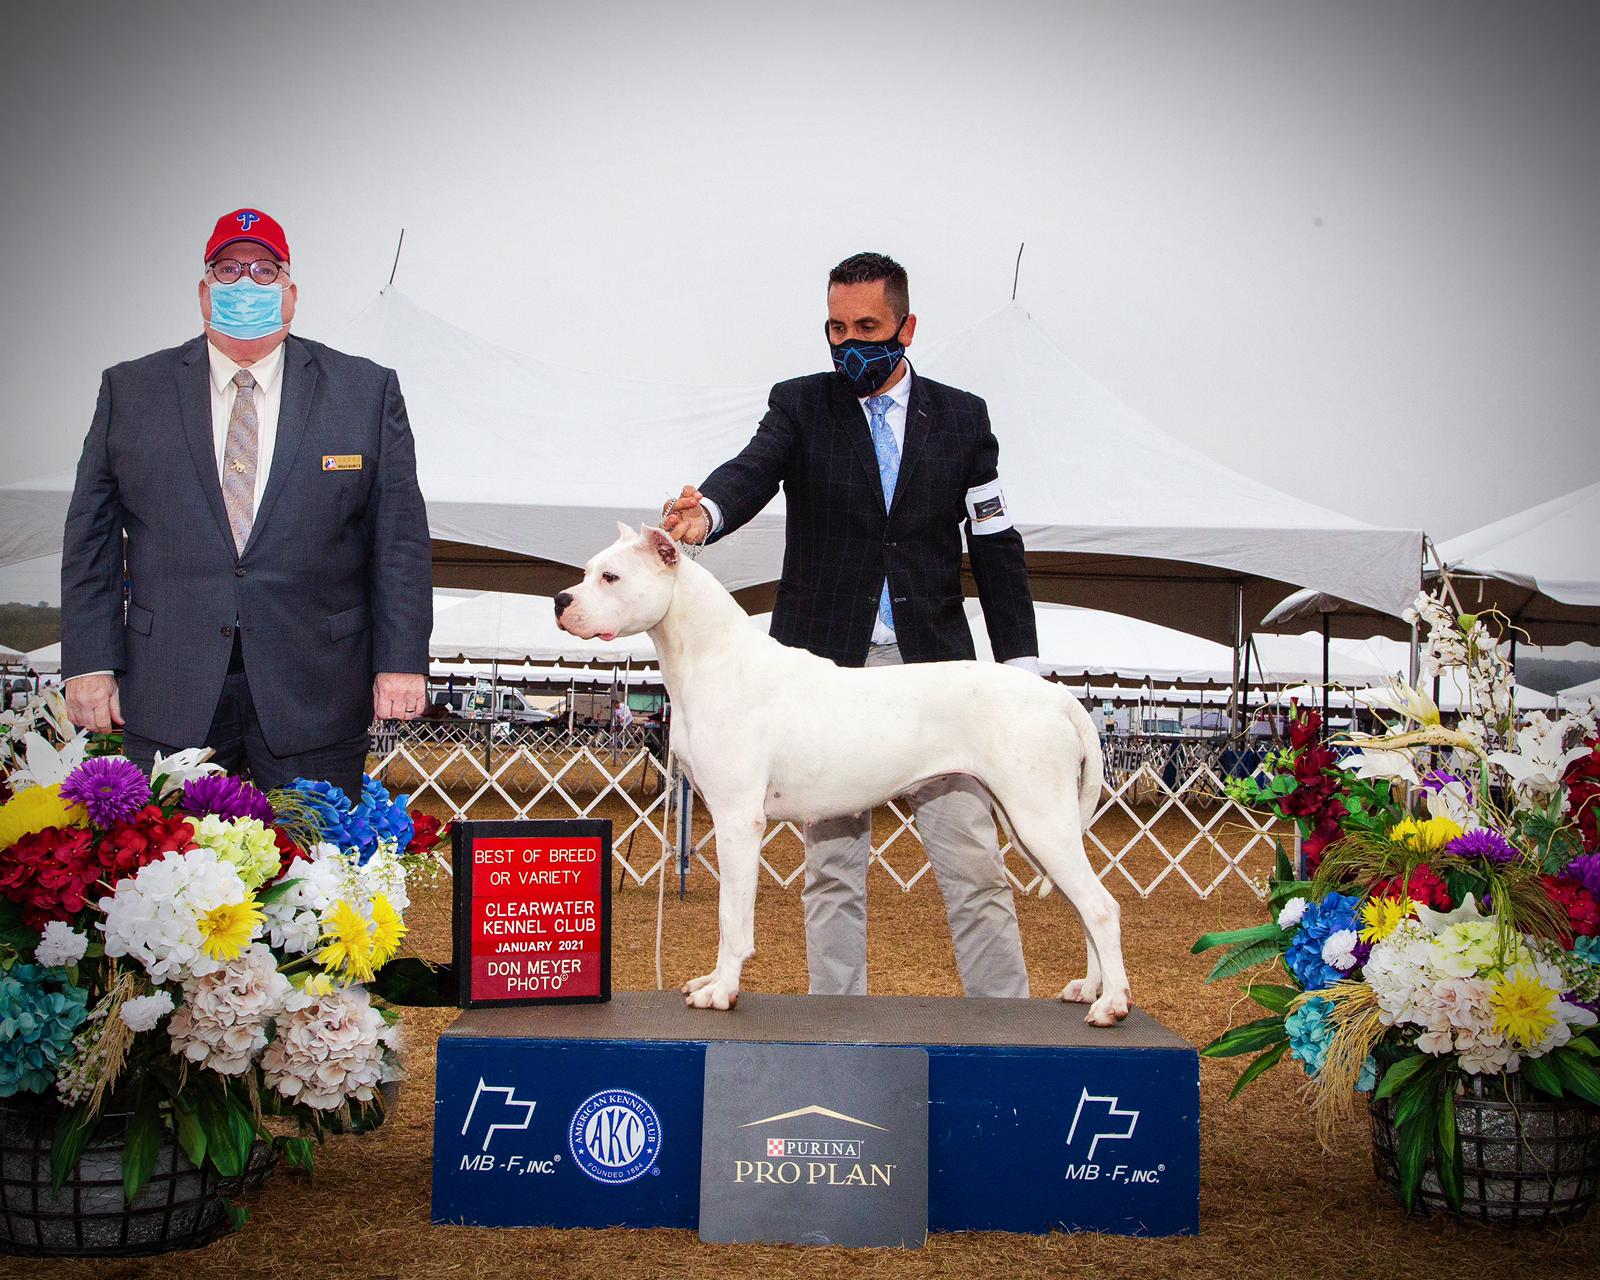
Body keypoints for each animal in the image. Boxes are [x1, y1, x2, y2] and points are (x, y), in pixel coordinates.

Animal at [556, 524, 1132, 1024]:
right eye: (586, 572)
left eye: (611, 577)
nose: (561, 601)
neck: (713, 658)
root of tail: (1057, 698)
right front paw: (713, 982)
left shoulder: (738, 821)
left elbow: (730, 918)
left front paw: (722, 991)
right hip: (1033, 827)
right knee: (1085, 907)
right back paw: (1089, 989)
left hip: (1040, 819)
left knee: (1101, 907)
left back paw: (1111, 1004)